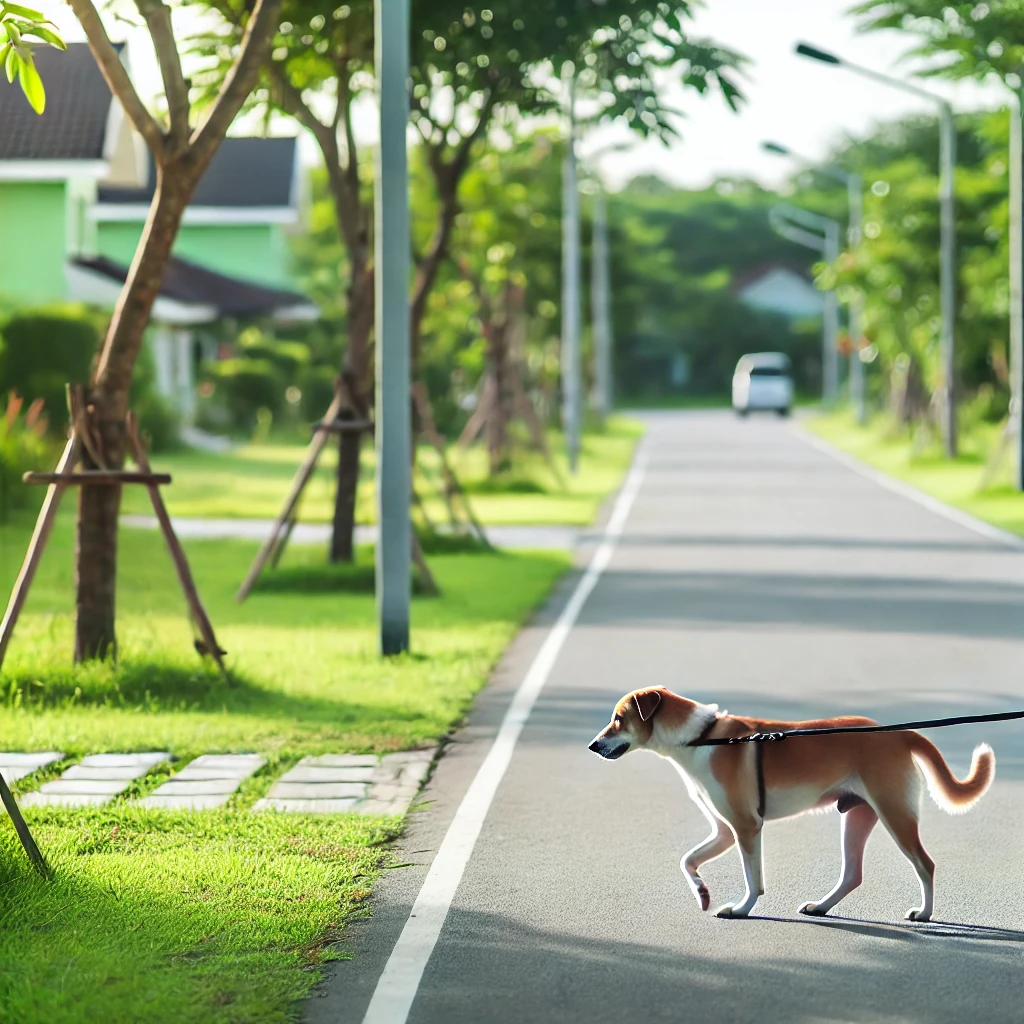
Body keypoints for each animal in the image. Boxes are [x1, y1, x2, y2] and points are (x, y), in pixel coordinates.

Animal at [589, 688, 995, 921]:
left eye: (618, 719)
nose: (593, 745)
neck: (702, 738)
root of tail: (901, 733)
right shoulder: (724, 831)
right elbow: (687, 859)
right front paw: (702, 892)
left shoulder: (746, 826)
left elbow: (754, 879)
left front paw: (742, 909)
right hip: (858, 816)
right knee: (853, 874)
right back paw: (821, 906)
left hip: (895, 814)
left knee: (925, 864)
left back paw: (924, 913)